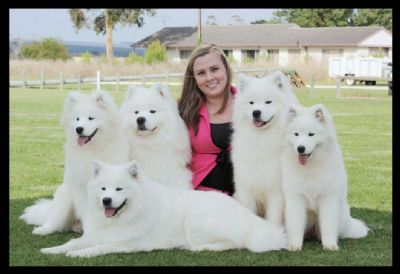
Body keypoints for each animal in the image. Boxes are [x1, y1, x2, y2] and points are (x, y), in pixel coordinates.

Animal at [19, 90, 129, 235]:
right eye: (77, 119)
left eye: (91, 118)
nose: (79, 129)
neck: (91, 150)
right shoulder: (81, 189)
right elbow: (88, 214)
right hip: (64, 198)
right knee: (54, 221)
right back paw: (43, 230)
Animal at [40, 159, 286, 258]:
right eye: (103, 189)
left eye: (119, 189)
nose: (107, 201)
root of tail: (248, 217)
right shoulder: (96, 234)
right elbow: (72, 242)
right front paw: (52, 250)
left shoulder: (126, 244)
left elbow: (97, 249)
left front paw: (78, 254)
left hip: (196, 220)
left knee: (234, 243)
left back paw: (200, 248)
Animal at [231, 71, 296, 225]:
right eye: (251, 103)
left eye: (268, 102)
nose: (256, 112)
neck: (261, 139)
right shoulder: (246, 187)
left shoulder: (276, 190)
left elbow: (273, 216)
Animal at [282, 104, 368, 252]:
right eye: (296, 134)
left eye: (311, 134)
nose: (300, 148)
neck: (311, 167)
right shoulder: (296, 198)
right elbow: (295, 224)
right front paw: (294, 245)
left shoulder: (328, 198)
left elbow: (328, 225)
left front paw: (330, 245)